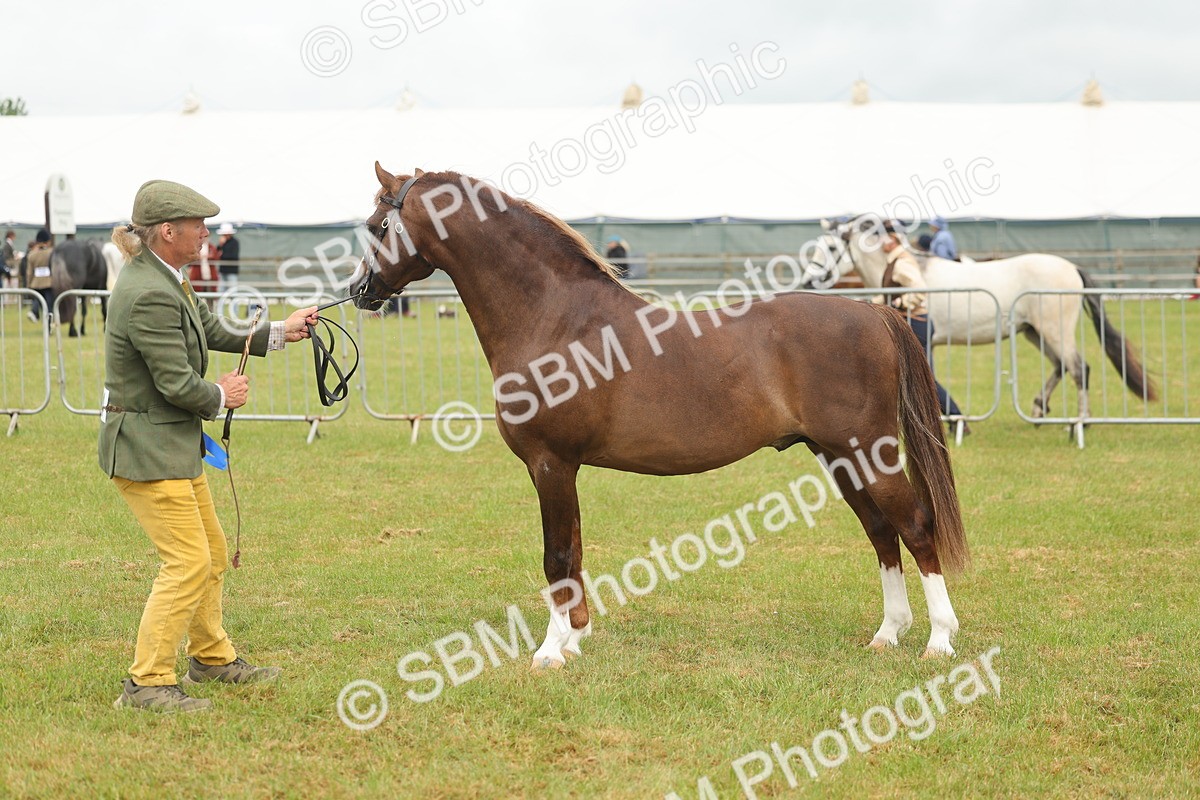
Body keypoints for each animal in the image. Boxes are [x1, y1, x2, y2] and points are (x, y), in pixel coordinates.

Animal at [349, 164, 972, 667]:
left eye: (378, 226)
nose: (359, 290)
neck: (554, 318)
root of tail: (873, 312)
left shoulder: (550, 464)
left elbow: (556, 557)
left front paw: (549, 651)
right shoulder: (566, 469)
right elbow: (574, 550)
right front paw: (576, 638)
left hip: (869, 451)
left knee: (915, 526)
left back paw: (939, 639)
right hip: (841, 456)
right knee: (881, 532)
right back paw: (888, 634)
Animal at [812, 215, 1155, 420]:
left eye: (832, 247)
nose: (812, 279)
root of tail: (1071, 268)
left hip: (1055, 330)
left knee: (1078, 368)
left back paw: (1080, 422)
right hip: (1033, 331)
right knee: (1061, 366)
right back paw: (1038, 409)